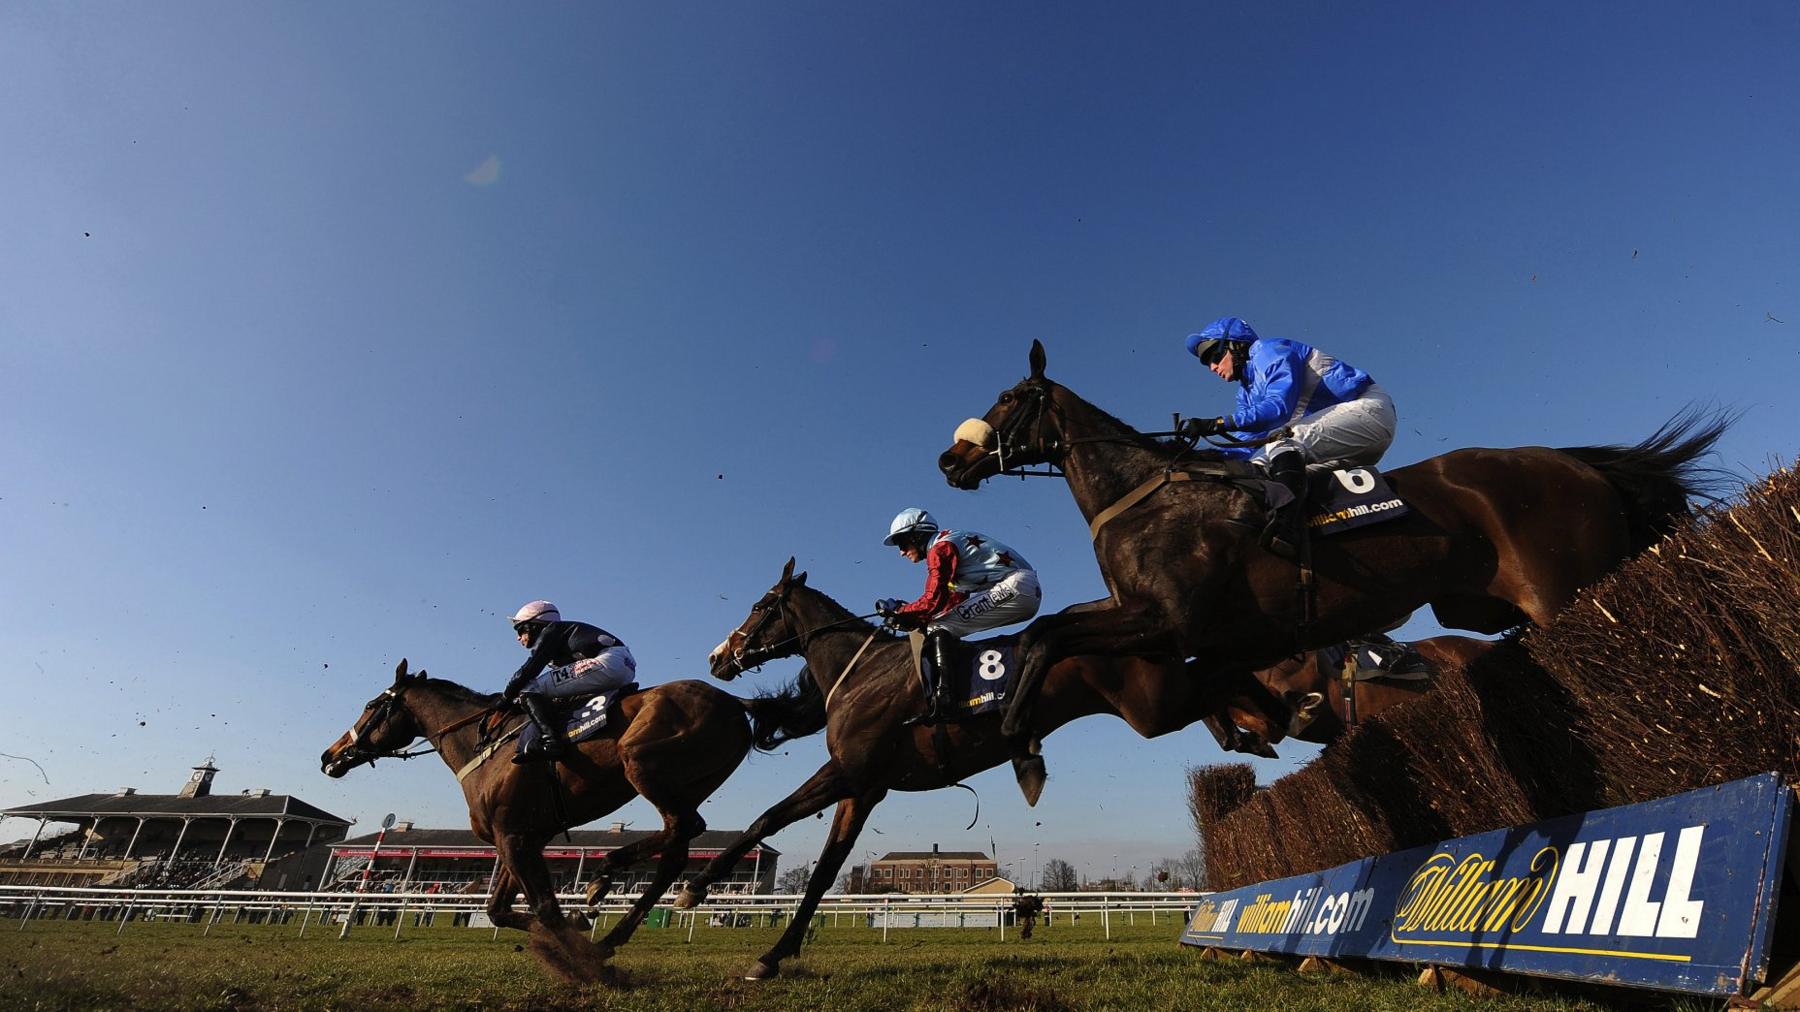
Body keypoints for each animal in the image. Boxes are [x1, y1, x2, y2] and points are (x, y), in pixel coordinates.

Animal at [324, 655, 802, 979]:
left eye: (371, 705)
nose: (330, 756)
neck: (486, 746)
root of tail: (734, 701)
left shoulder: (514, 837)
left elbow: (544, 908)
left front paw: (580, 959)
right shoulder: (520, 836)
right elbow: (499, 910)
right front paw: (576, 926)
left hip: (643, 764)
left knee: (686, 831)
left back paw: (606, 880)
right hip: (687, 786)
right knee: (675, 851)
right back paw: (610, 926)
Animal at [936, 338, 1720, 741]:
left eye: (1007, 398)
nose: (950, 459)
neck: (1147, 495)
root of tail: (1575, 464)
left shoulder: (1165, 621)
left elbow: (1052, 634)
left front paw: (1014, 717)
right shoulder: (1149, 619)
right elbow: (1054, 627)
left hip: (1571, 591)